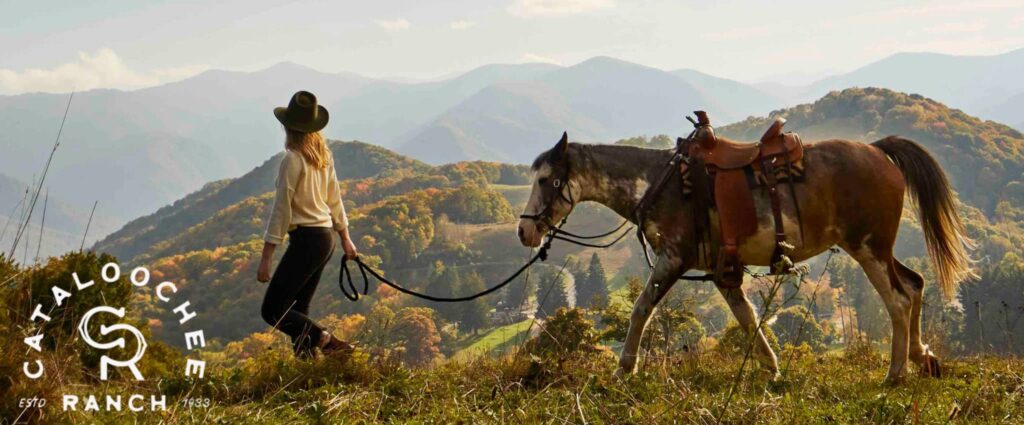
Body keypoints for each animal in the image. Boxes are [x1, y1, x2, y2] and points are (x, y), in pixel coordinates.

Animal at [520, 132, 974, 383]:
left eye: (546, 180)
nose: (525, 231)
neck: (661, 184)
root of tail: (878, 151)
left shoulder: (672, 259)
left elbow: (641, 309)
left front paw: (623, 368)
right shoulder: (723, 272)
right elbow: (748, 318)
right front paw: (772, 368)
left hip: (868, 248)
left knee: (898, 300)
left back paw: (895, 373)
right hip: (878, 248)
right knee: (914, 284)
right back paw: (921, 356)